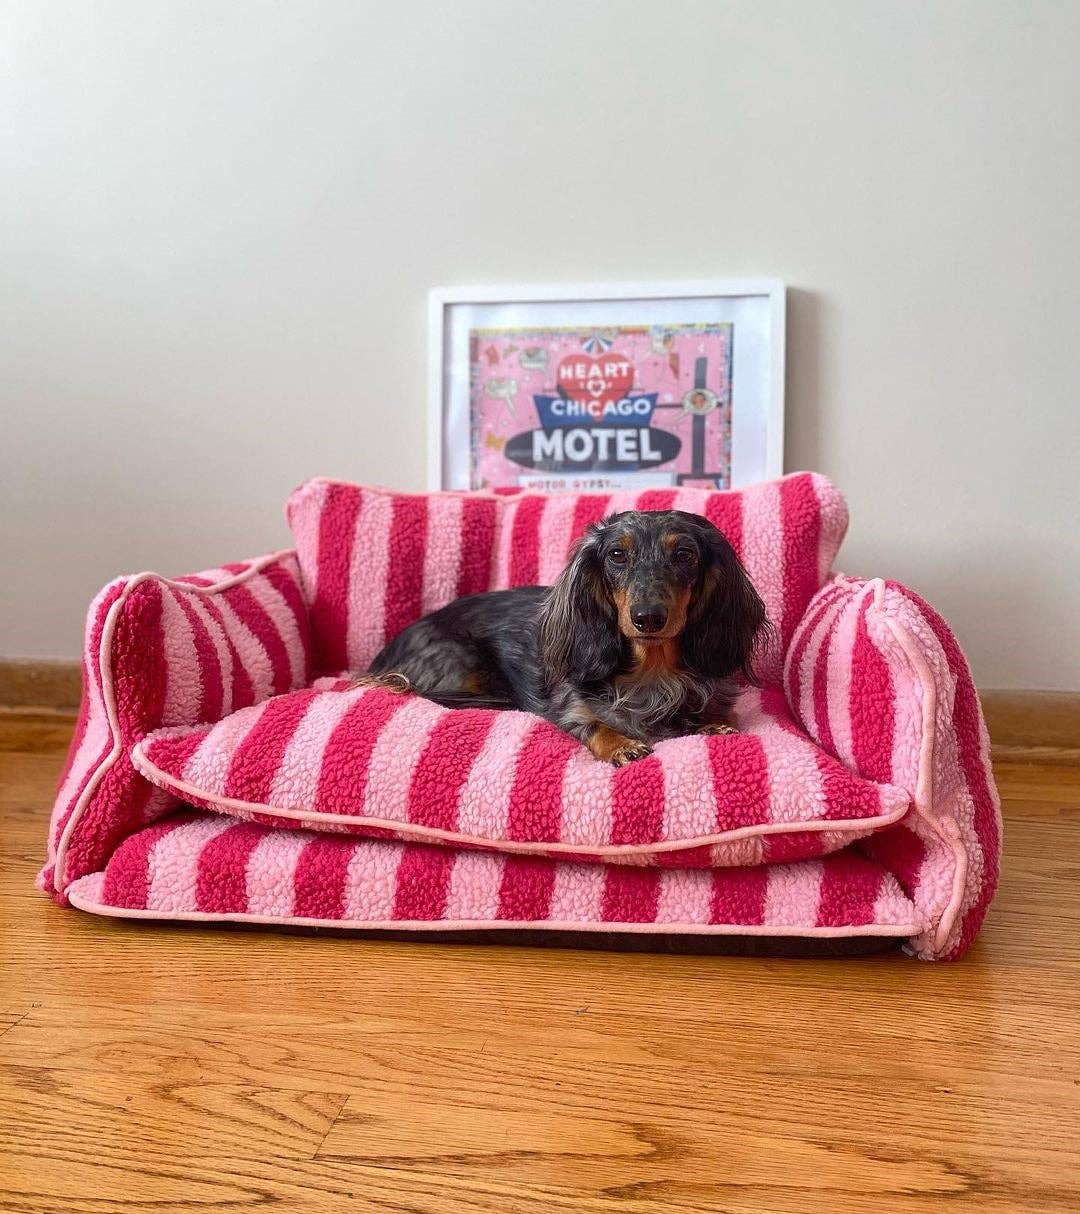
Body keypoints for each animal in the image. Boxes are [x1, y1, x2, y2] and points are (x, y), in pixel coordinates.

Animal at [361, 507, 766, 762]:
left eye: (684, 554)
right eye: (617, 555)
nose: (647, 617)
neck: (652, 671)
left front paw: (714, 725)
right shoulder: (572, 705)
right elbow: (593, 723)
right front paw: (621, 744)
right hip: (460, 660)